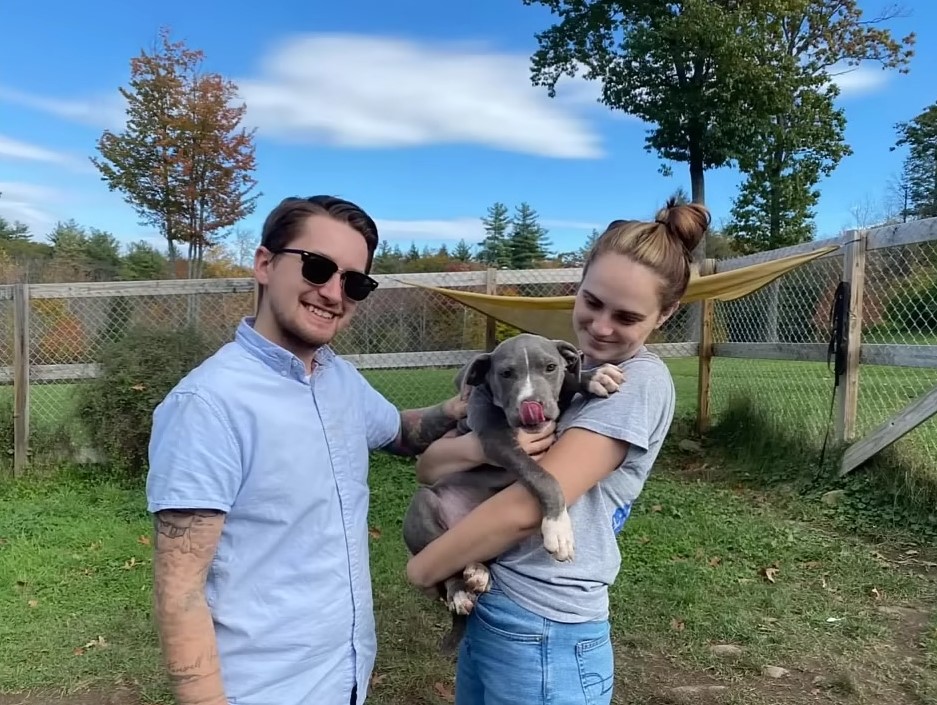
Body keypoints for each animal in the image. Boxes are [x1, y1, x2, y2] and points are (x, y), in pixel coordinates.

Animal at [402, 332, 620, 652]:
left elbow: (567, 385)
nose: (532, 403)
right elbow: (543, 476)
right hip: (423, 504)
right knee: (443, 565)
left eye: (550, 367)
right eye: (506, 373)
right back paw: (460, 591)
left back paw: (477, 572)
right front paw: (558, 529)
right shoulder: (497, 441)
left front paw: (592, 377)